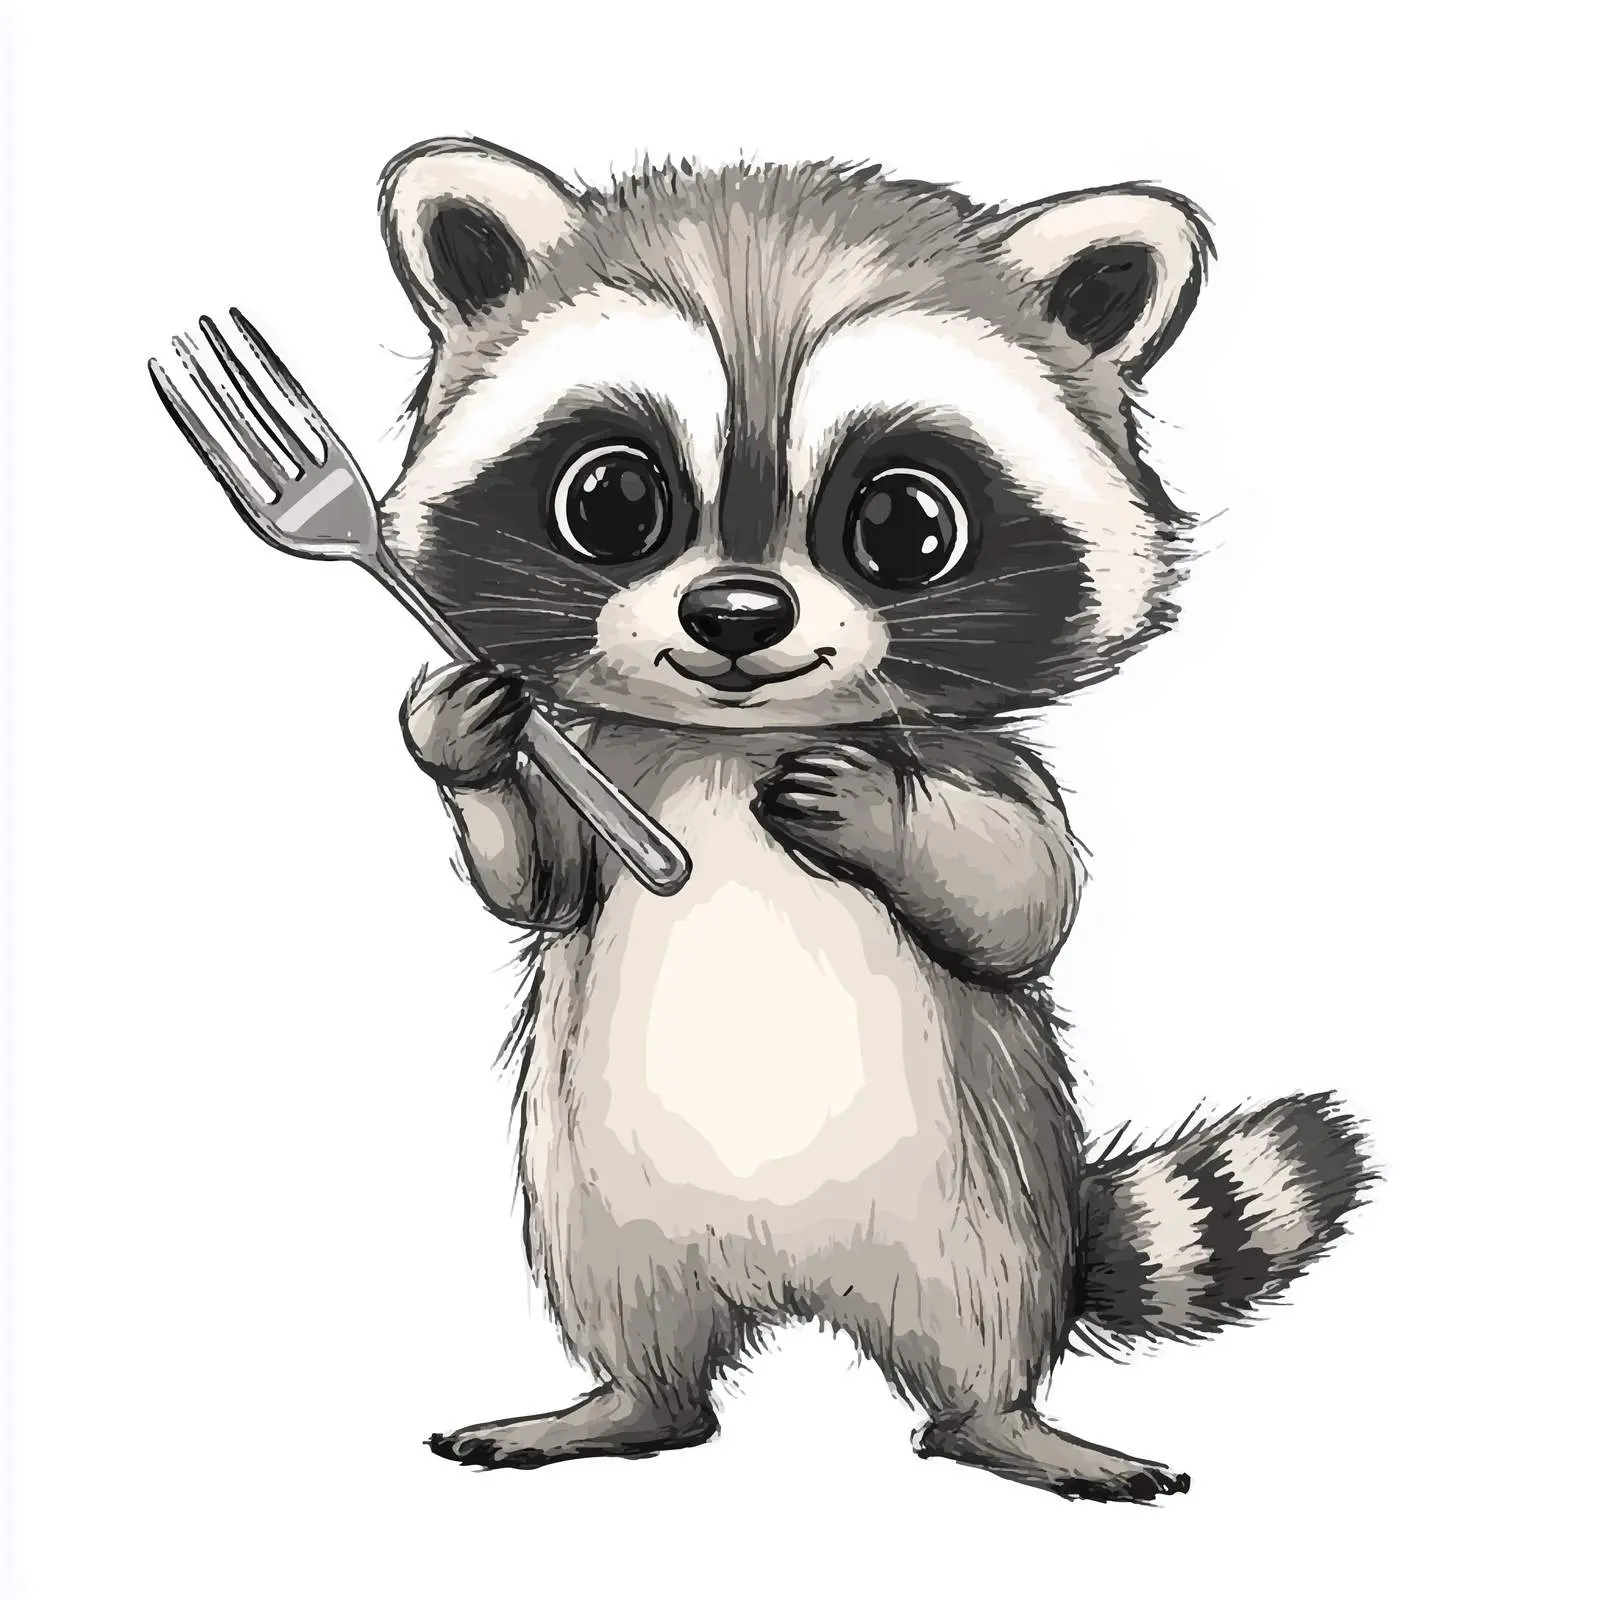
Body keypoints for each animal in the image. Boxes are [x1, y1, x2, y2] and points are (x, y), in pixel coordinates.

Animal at [379, 137, 1371, 1503]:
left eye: (904, 523)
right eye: (613, 499)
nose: (737, 617)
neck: (738, 741)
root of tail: (789, 1282)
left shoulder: (984, 760)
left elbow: (1026, 904)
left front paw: (882, 812)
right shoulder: (602, 764)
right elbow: (544, 882)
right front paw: (464, 737)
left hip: (985, 1211)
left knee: (980, 1337)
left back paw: (1003, 1420)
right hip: (596, 1207)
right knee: (637, 1325)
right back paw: (626, 1400)